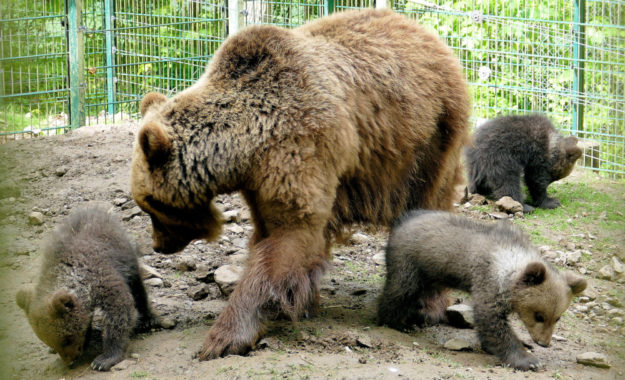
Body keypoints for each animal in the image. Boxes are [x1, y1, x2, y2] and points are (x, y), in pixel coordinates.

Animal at [134, 8, 470, 360]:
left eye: (149, 203)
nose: (158, 245)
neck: (247, 146)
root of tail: (427, 34)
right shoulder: (260, 180)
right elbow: (272, 232)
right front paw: (302, 302)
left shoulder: (299, 144)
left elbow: (290, 233)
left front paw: (223, 338)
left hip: (428, 139)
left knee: (428, 207)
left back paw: (422, 308)